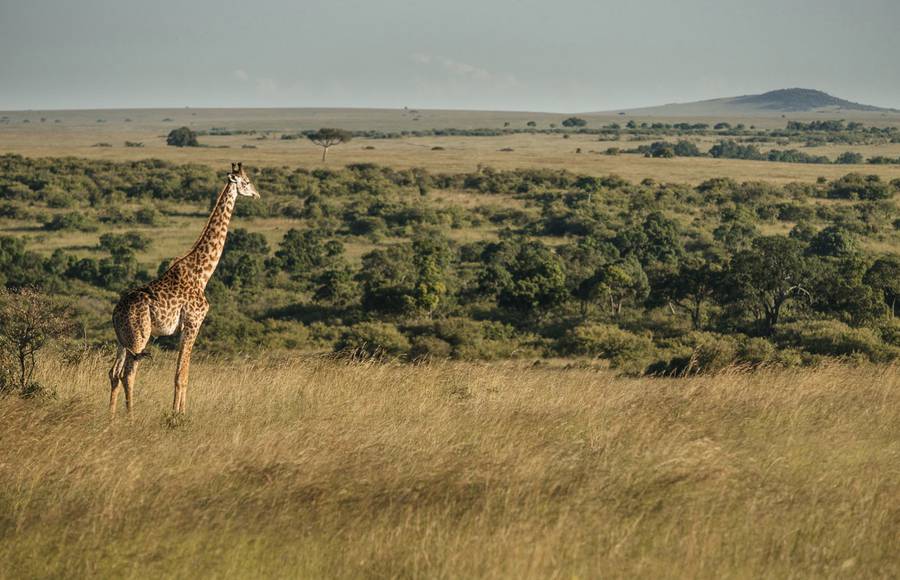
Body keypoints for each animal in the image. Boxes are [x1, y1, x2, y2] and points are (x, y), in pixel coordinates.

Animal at [108, 163, 260, 414]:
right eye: (246, 182)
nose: (257, 194)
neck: (202, 273)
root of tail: (114, 313)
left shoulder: (184, 327)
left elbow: (183, 373)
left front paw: (179, 412)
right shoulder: (192, 323)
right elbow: (181, 375)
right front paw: (178, 415)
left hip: (123, 339)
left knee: (113, 373)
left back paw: (110, 417)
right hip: (140, 336)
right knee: (128, 373)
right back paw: (130, 417)